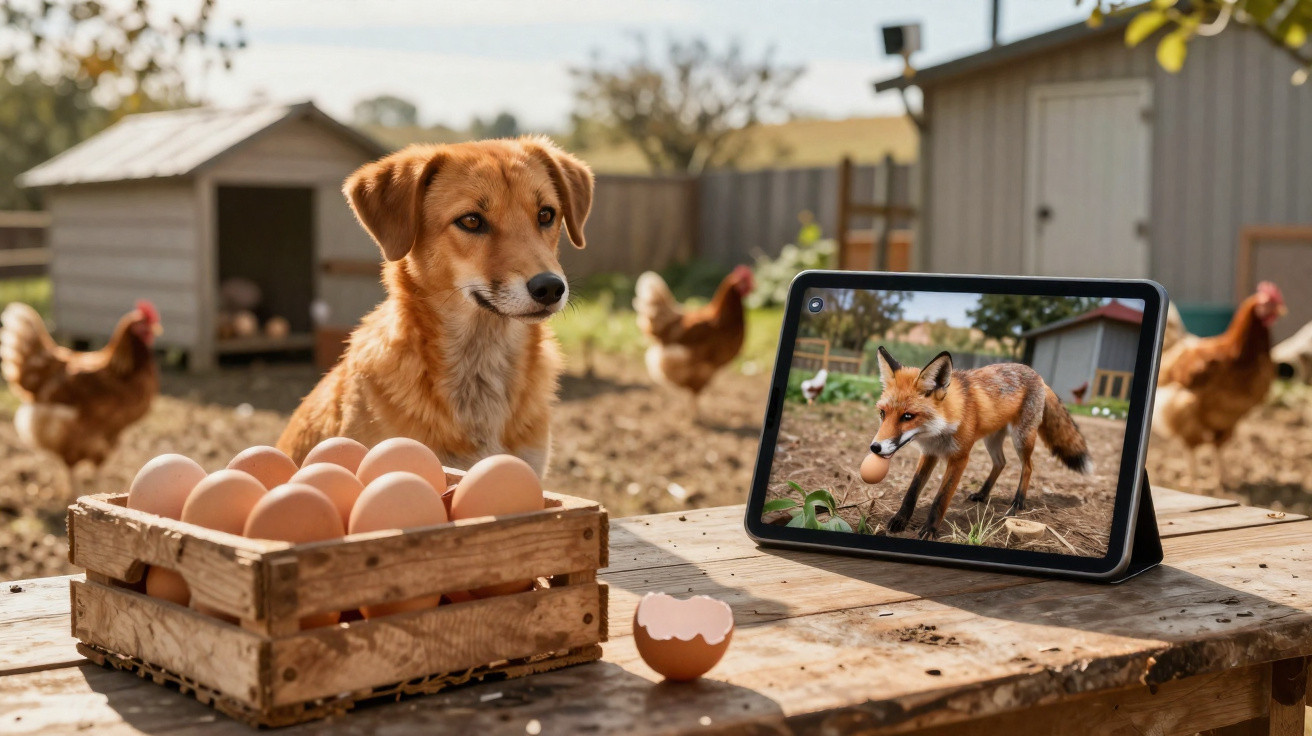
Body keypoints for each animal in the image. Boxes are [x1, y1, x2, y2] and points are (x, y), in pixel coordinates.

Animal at [869, 346, 1092, 540]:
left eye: (908, 416)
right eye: (883, 413)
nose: (875, 447)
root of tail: (1038, 375)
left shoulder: (960, 458)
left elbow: (940, 499)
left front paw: (930, 529)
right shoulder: (930, 453)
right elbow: (912, 491)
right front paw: (900, 519)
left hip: (1022, 438)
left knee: (1028, 467)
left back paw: (1018, 503)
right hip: (991, 441)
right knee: (1001, 462)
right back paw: (983, 494)